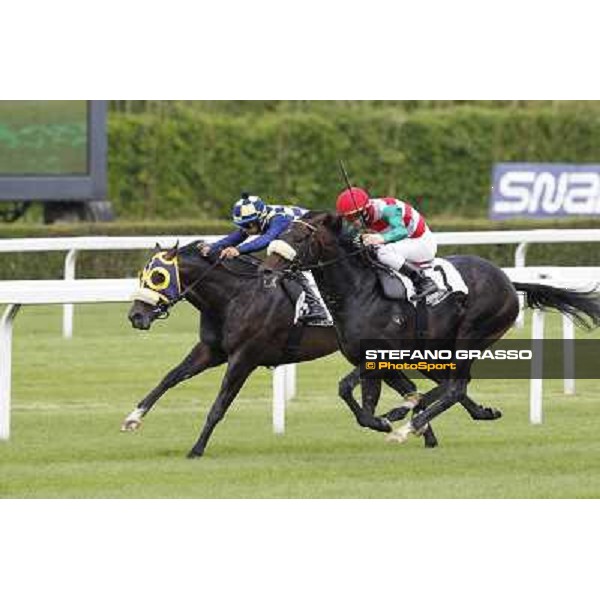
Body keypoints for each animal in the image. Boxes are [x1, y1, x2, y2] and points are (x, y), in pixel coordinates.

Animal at [264, 213, 600, 442]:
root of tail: (507, 280)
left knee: (456, 386)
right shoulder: (374, 359)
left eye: (299, 238)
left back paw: (408, 427)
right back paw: (472, 412)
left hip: (472, 335)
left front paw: (393, 421)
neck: (359, 291)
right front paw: (389, 417)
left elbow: (346, 387)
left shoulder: (379, 356)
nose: (266, 269)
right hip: (434, 349)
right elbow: (370, 402)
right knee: (452, 384)